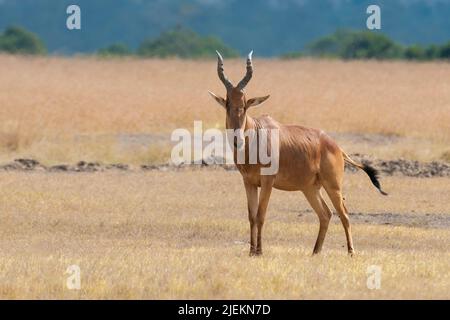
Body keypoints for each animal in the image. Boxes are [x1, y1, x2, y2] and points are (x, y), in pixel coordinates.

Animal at [207, 51, 386, 256]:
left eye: (245, 105)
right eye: (227, 104)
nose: (237, 141)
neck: (257, 132)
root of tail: (337, 147)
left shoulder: (267, 182)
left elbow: (261, 215)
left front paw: (259, 252)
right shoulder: (249, 182)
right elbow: (251, 216)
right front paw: (251, 252)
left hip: (332, 185)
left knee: (344, 213)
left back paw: (350, 252)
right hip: (310, 188)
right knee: (325, 214)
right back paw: (315, 252)